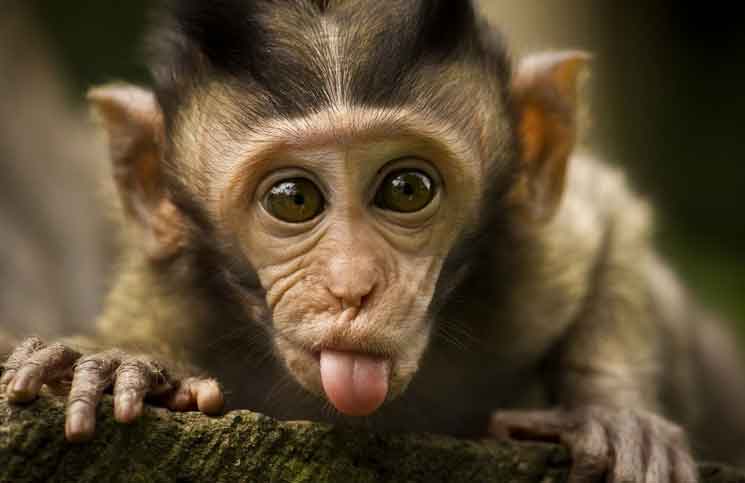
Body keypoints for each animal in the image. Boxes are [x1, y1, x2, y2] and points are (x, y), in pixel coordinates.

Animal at [2, 2, 744, 482]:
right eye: (292, 199)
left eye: (406, 188)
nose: (352, 285)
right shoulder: (173, 294)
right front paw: (119, 363)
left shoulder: (532, 266)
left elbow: (611, 217)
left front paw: (613, 412)